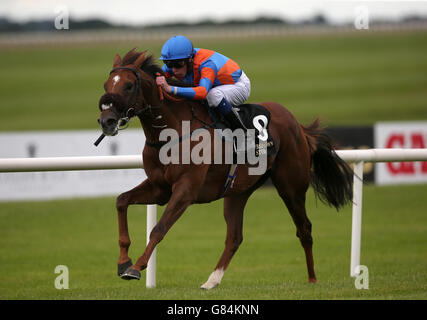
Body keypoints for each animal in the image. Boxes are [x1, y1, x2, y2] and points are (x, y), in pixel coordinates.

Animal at [98, 48, 354, 290]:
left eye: (128, 85)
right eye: (106, 85)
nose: (106, 121)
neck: (170, 132)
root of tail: (298, 126)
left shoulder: (185, 190)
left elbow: (158, 229)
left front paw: (136, 267)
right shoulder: (160, 188)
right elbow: (121, 201)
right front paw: (123, 261)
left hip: (291, 187)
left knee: (304, 229)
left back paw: (312, 279)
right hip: (237, 191)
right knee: (234, 237)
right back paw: (211, 281)